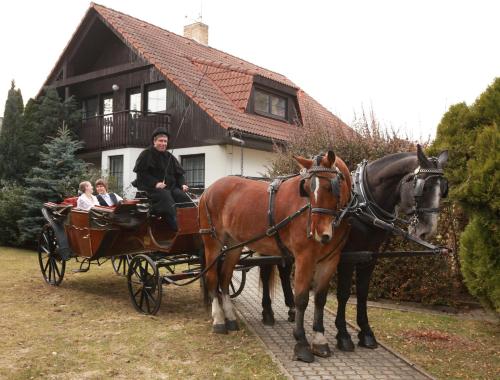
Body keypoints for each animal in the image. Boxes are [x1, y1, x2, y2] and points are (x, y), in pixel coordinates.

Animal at [199, 151, 352, 362]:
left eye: (330, 187)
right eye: (307, 189)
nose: (318, 233)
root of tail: (208, 190)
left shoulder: (330, 260)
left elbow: (320, 298)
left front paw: (320, 340)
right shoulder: (304, 258)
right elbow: (301, 298)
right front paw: (301, 343)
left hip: (233, 245)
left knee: (224, 278)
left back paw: (230, 318)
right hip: (212, 242)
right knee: (213, 278)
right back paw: (219, 320)